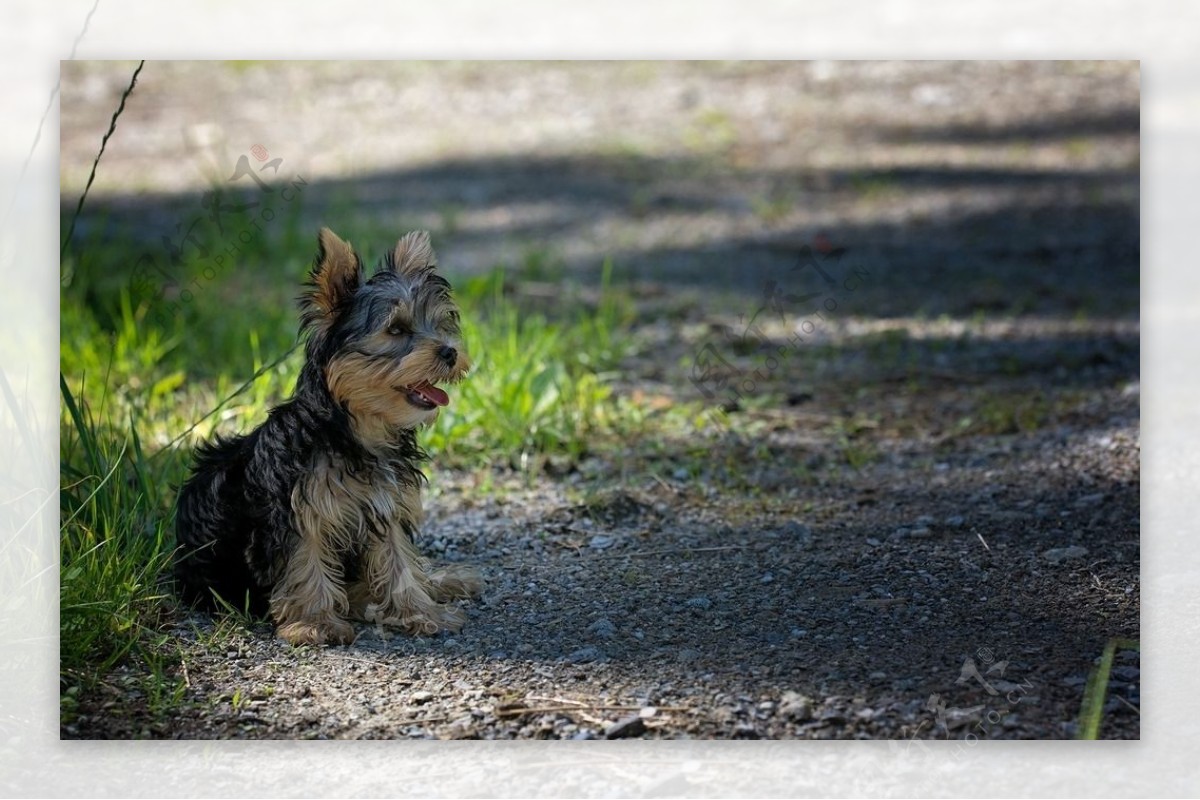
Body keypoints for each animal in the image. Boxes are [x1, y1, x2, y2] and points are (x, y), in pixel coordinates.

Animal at [175, 227, 482, 647]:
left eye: (438, 324)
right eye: (396, 329)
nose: (450, 352)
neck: (355, 430)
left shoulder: (385, 504)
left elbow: (398, 558)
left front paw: (420, 610)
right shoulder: (297, 512)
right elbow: (305, 561)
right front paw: (315, 622)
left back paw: (438, 580)